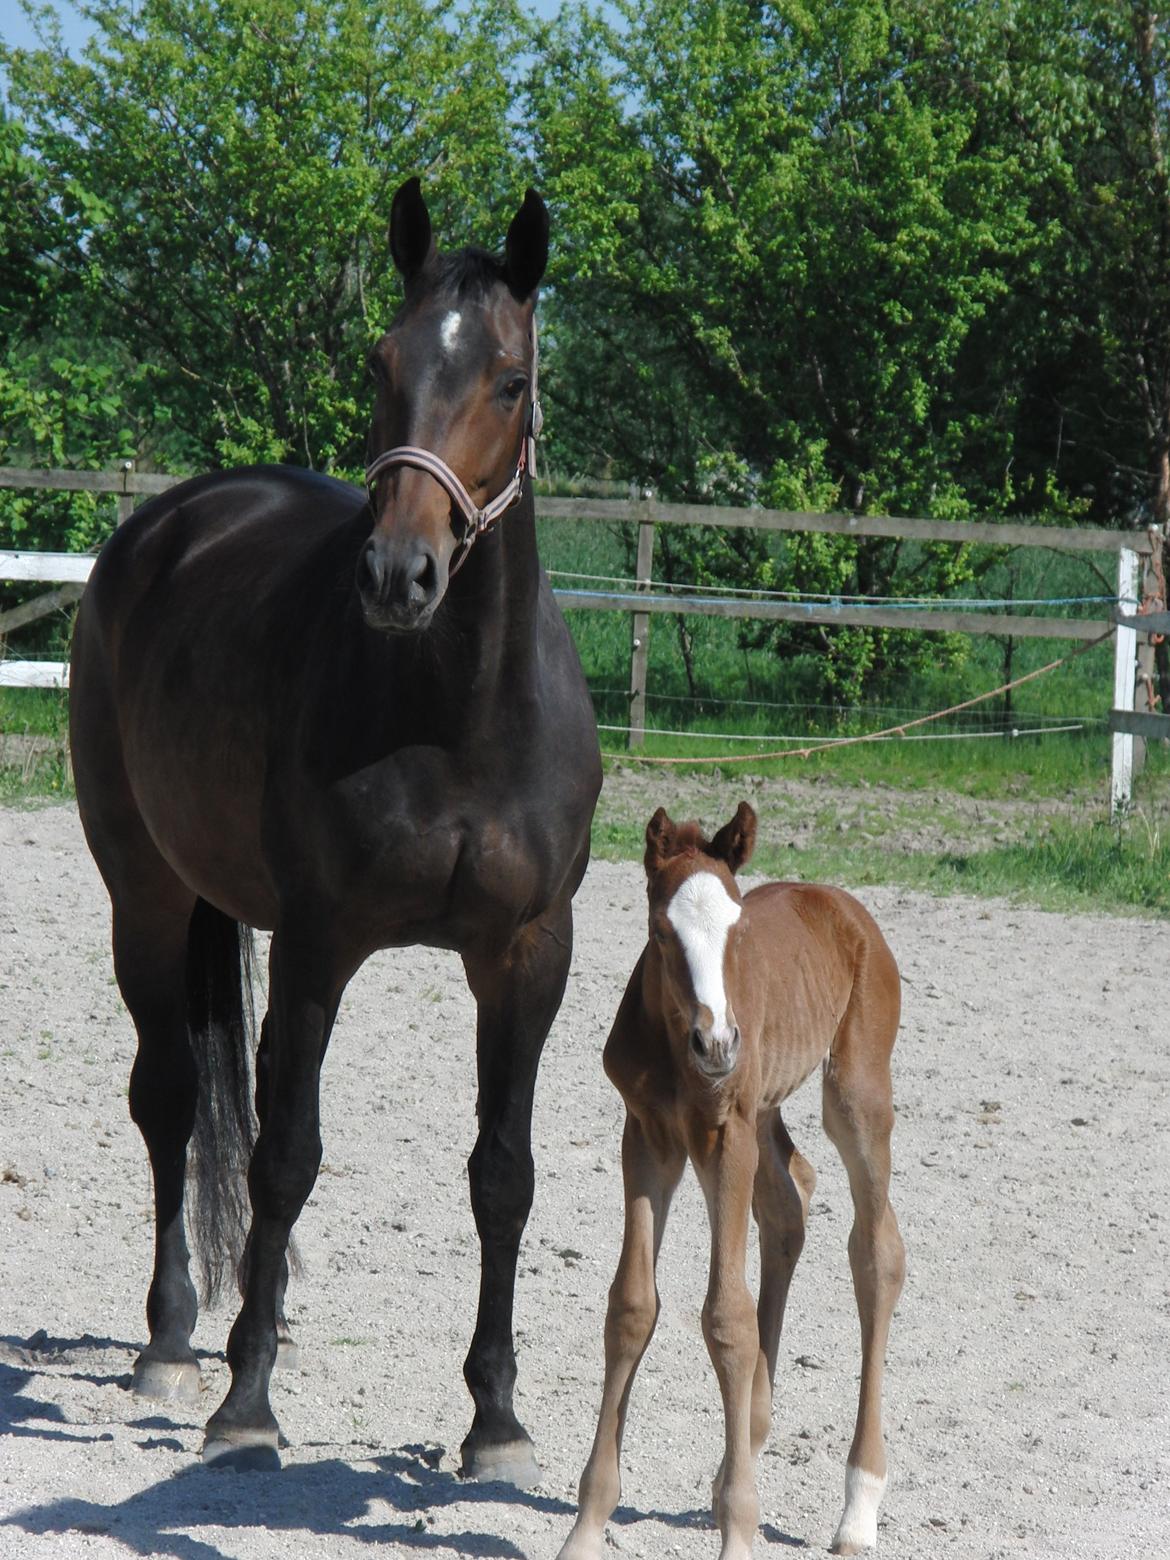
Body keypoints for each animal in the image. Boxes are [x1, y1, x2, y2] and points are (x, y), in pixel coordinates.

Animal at [564, 804, 911, 1560]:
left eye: (737, 929)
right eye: (660, 930)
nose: (719, 1043)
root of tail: (845, 906)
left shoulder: (725, 1139)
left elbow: (727, 1319)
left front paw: (740, 1529)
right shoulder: (648, 1137)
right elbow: (631, 1307)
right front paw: (587, 1525)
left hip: (855, 1096)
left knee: (876, 1252)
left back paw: (859, 1505)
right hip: (765, 1108)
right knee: (790, 1202)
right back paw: (741, 1452)